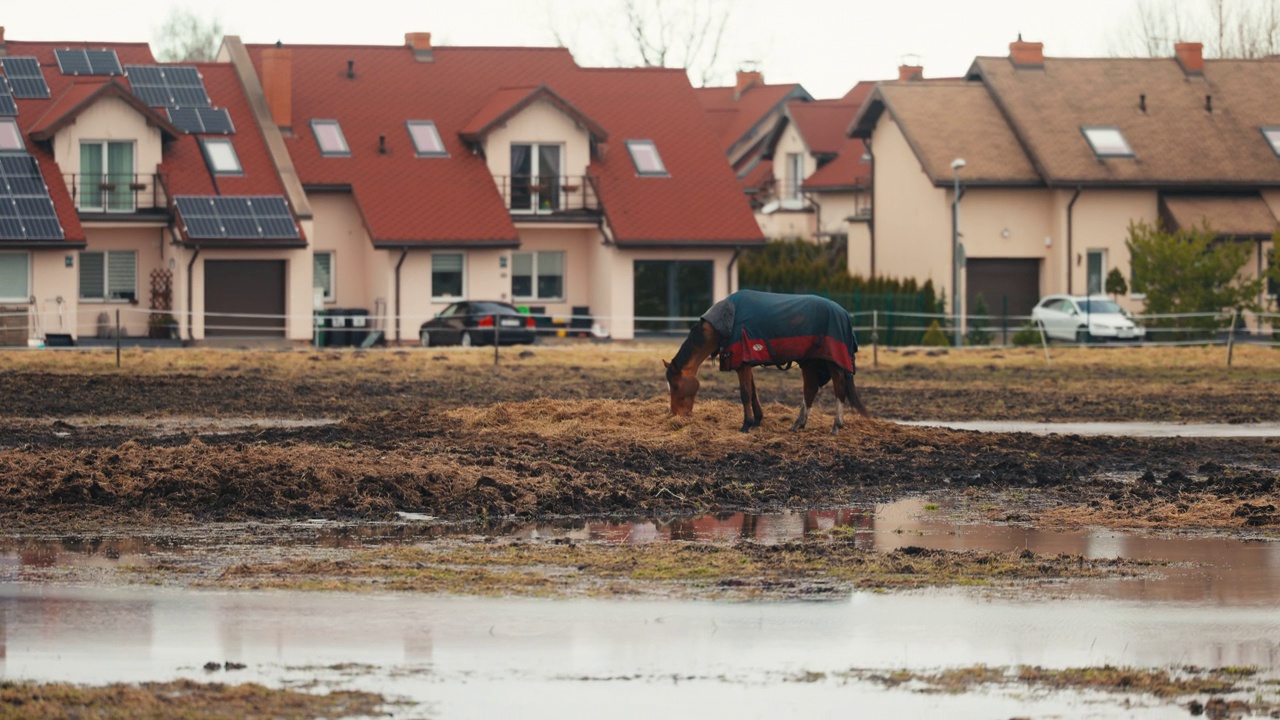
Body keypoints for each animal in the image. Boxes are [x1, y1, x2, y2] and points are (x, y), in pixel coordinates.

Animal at [660, 286, 870, 430]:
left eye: (676, 386)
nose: (676, 415)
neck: (727, 323)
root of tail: (844, 313)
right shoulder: (746, 362)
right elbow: (753, 392)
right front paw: (757, 421)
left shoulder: (742, 363)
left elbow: (745, 393)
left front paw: (746, 424)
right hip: (810, 362)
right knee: (810, 389)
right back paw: (798, 424)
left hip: (832, 362)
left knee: (839, 388)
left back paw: (836, 425)